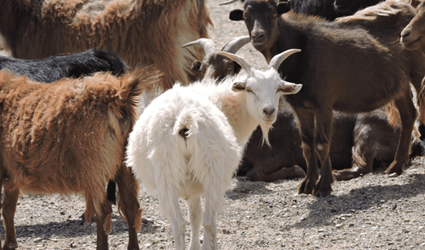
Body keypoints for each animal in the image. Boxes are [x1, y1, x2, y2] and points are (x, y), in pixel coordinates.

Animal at [0, 67, 161, 249]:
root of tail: (119, 95)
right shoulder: (12, 176)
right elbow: (8, 208)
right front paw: (10, 244)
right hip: (124, 165)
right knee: (131, 208)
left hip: (94, 167)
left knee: (103, 210)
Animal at [125, 49, 302, 250]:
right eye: (249, 89)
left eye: (278, 88)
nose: (269, 111)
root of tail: (185, 118)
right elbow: (204, 220)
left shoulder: (191, 186)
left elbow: (194, 217)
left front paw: (194, 246)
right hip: (212, 171)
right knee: (210, 222)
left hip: (166, 174)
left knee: (178, 224)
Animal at [229, 0, 424, 197]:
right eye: (246, 16)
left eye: (274, 14)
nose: (258, 36)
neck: (302, 51)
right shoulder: (301, 108)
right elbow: (307, 145)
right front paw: (307, 185)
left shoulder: (323, 104)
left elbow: (322, 144)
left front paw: (323, 186)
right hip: (400, 85)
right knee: (408, 115)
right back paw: (396, 167)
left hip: (416, 73)